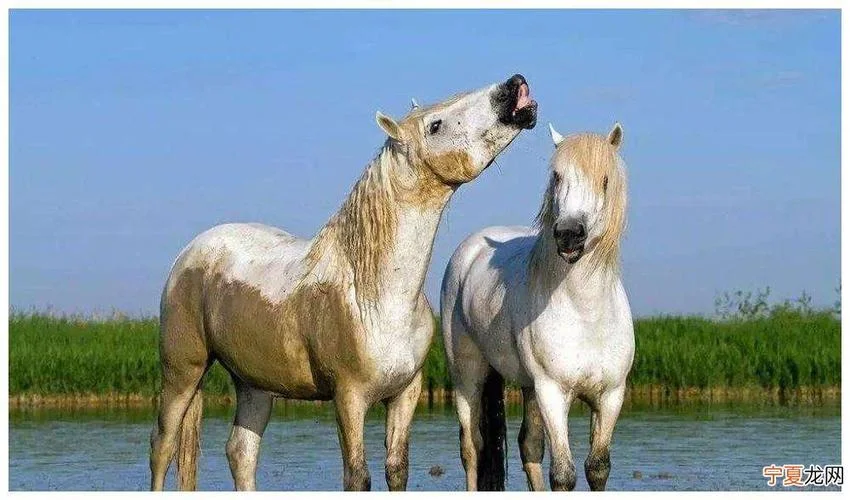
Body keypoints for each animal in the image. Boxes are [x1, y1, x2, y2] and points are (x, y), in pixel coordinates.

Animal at [149, 74, 538, 491]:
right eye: (435, 125)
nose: (515, 87)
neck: (375, 293)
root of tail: (190, 252)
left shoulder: (405, 394)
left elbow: (396, 470)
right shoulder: (348, 398)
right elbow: (357, 476)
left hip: (254, 384)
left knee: (241, 452)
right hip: (183, 372)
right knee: (163, 445)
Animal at [440, 122, 633, 491]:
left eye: (604, 180)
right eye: (557, 177)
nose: (569, 234)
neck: (587, 313)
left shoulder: (610, 397)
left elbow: (597, 467)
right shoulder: (552, 393)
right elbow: (564, 474)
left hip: (528, 388)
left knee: (528, 446)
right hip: (468, 376)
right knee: (472, 447)